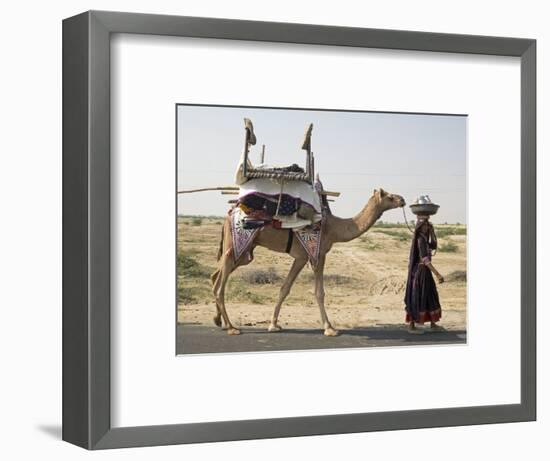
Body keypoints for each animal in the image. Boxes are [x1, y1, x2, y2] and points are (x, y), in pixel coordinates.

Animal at [210, 186, 406, 334]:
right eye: (389, 196)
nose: (402, 199)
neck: (334, 228)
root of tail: (228, 215)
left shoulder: (303, 257)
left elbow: (284, 288)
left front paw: (274, 324)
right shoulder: (315, 254)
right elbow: (319, 292)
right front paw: (329, 328)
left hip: (245, 252)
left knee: (215, 276)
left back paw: (219, 320)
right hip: (235, 245)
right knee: (220, 285)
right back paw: (231, 327)